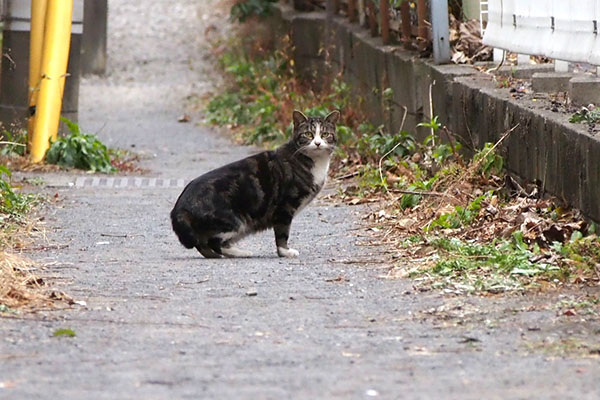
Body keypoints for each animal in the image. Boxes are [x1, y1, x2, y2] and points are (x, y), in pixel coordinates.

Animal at [171, 109, 340, 260]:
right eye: (308, 134)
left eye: (325, 134)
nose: (317, 143)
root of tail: (178, 209)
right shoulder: (284, 208)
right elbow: (282, 233)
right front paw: (285, 252)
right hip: (234, 221)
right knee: (212, 242)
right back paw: (242, 253)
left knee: (203, 244)